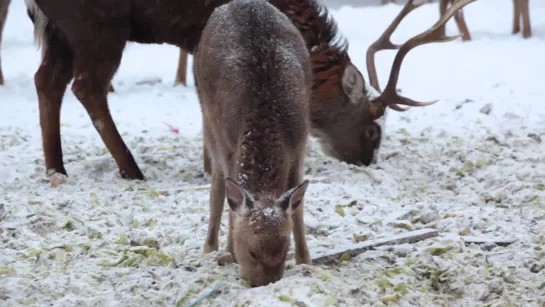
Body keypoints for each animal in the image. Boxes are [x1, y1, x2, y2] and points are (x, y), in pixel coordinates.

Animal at [194, 0, 312, 288]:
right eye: (251, 252)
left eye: (284, 249)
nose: (263, 284)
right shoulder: (227, 142)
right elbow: (229, 201)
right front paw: (228, 253)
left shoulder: (300, 144)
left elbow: (298, 207)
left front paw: (306, 260)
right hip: (206, 115)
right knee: (216, 184)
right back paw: (210, 248)